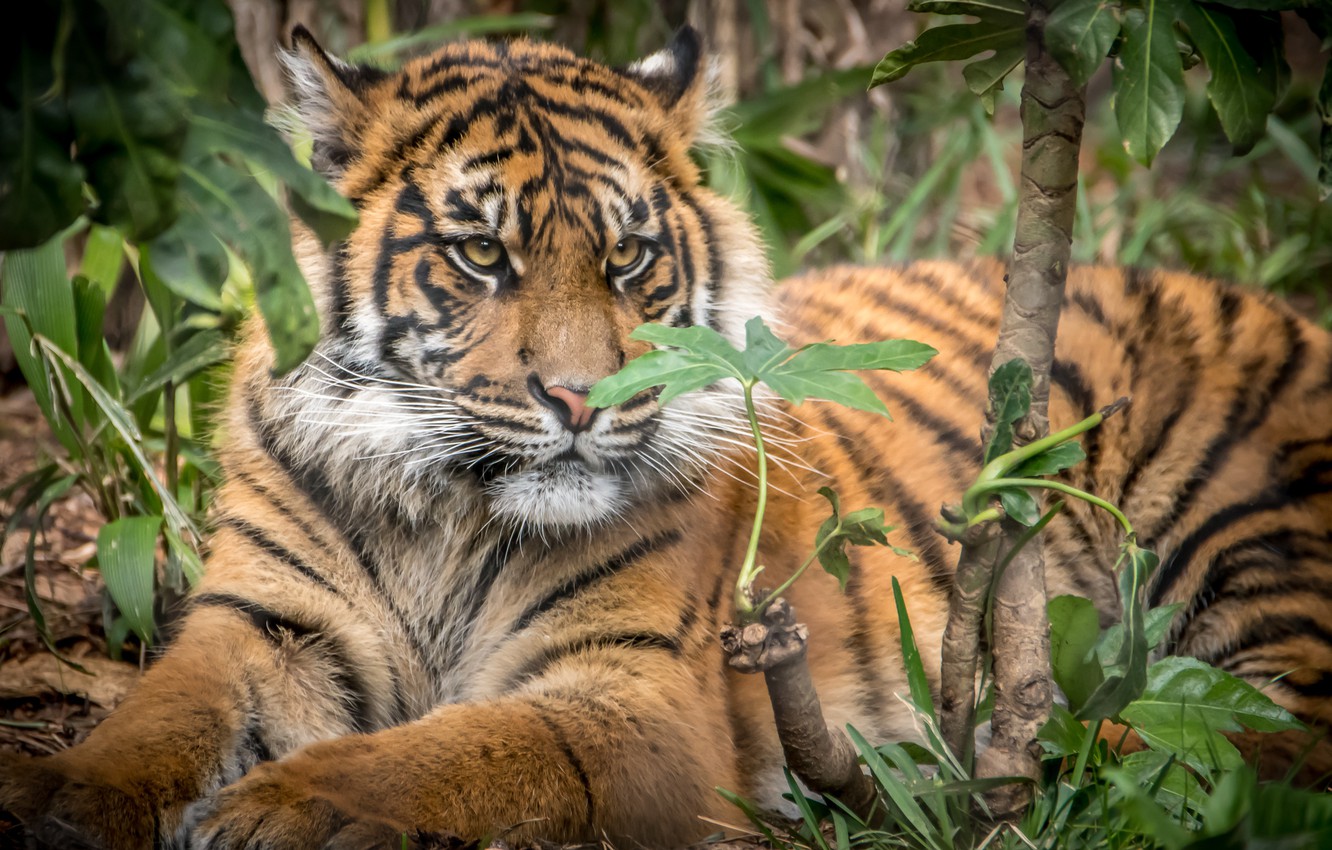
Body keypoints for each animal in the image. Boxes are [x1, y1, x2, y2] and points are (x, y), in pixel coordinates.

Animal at [2, 23, 1331, 850]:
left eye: (631, 255)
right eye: (479, 253)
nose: (582, 399)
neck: (447, 508)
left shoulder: (632, 692)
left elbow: (457, 748)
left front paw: (288, 806)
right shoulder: (264, 623)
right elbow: (156, 720)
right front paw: (54, 799)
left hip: (1252, 546)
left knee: (1241, 739)